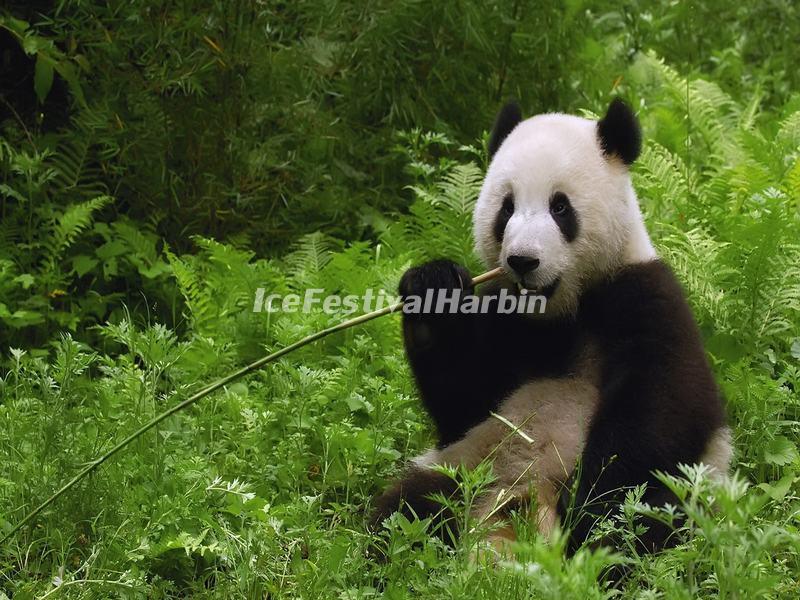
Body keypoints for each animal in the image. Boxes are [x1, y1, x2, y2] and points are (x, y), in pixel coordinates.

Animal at [371, 99, 732, 558]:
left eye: (560, 207)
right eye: (506, 208)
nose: (523, 260)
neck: (558, 312)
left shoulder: (643, 296)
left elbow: (662, 408)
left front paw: (587, 504)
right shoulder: (504, 319)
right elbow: (464, 402)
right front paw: (432, 287)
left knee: (646, 520)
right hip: (467, 466)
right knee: (408, 510)